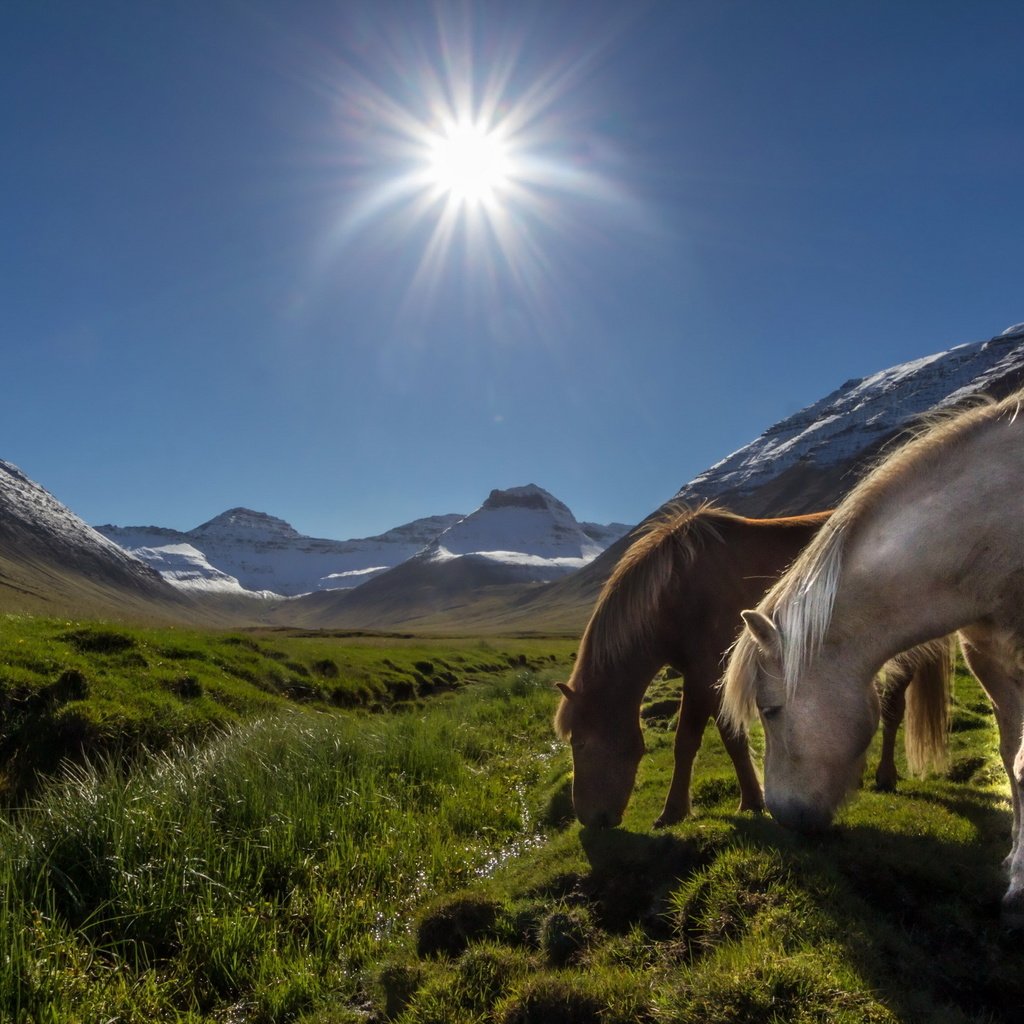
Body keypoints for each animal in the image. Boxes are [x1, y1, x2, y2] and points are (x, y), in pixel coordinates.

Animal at [552, 503, 950, 831]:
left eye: (581, 743)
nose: (589, 819)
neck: (677, 591)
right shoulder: (707, 677)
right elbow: (730, 738)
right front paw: (749, 799)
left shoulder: (703, 676)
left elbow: (690, 742)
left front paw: (676, 811)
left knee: (893, 709)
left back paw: (885, 775)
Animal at [720, 387, 1024, 925]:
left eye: (770, 710)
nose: (782, 815)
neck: (987, 526)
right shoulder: (989, 658)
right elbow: (1011, 757)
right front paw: (1013, 868)